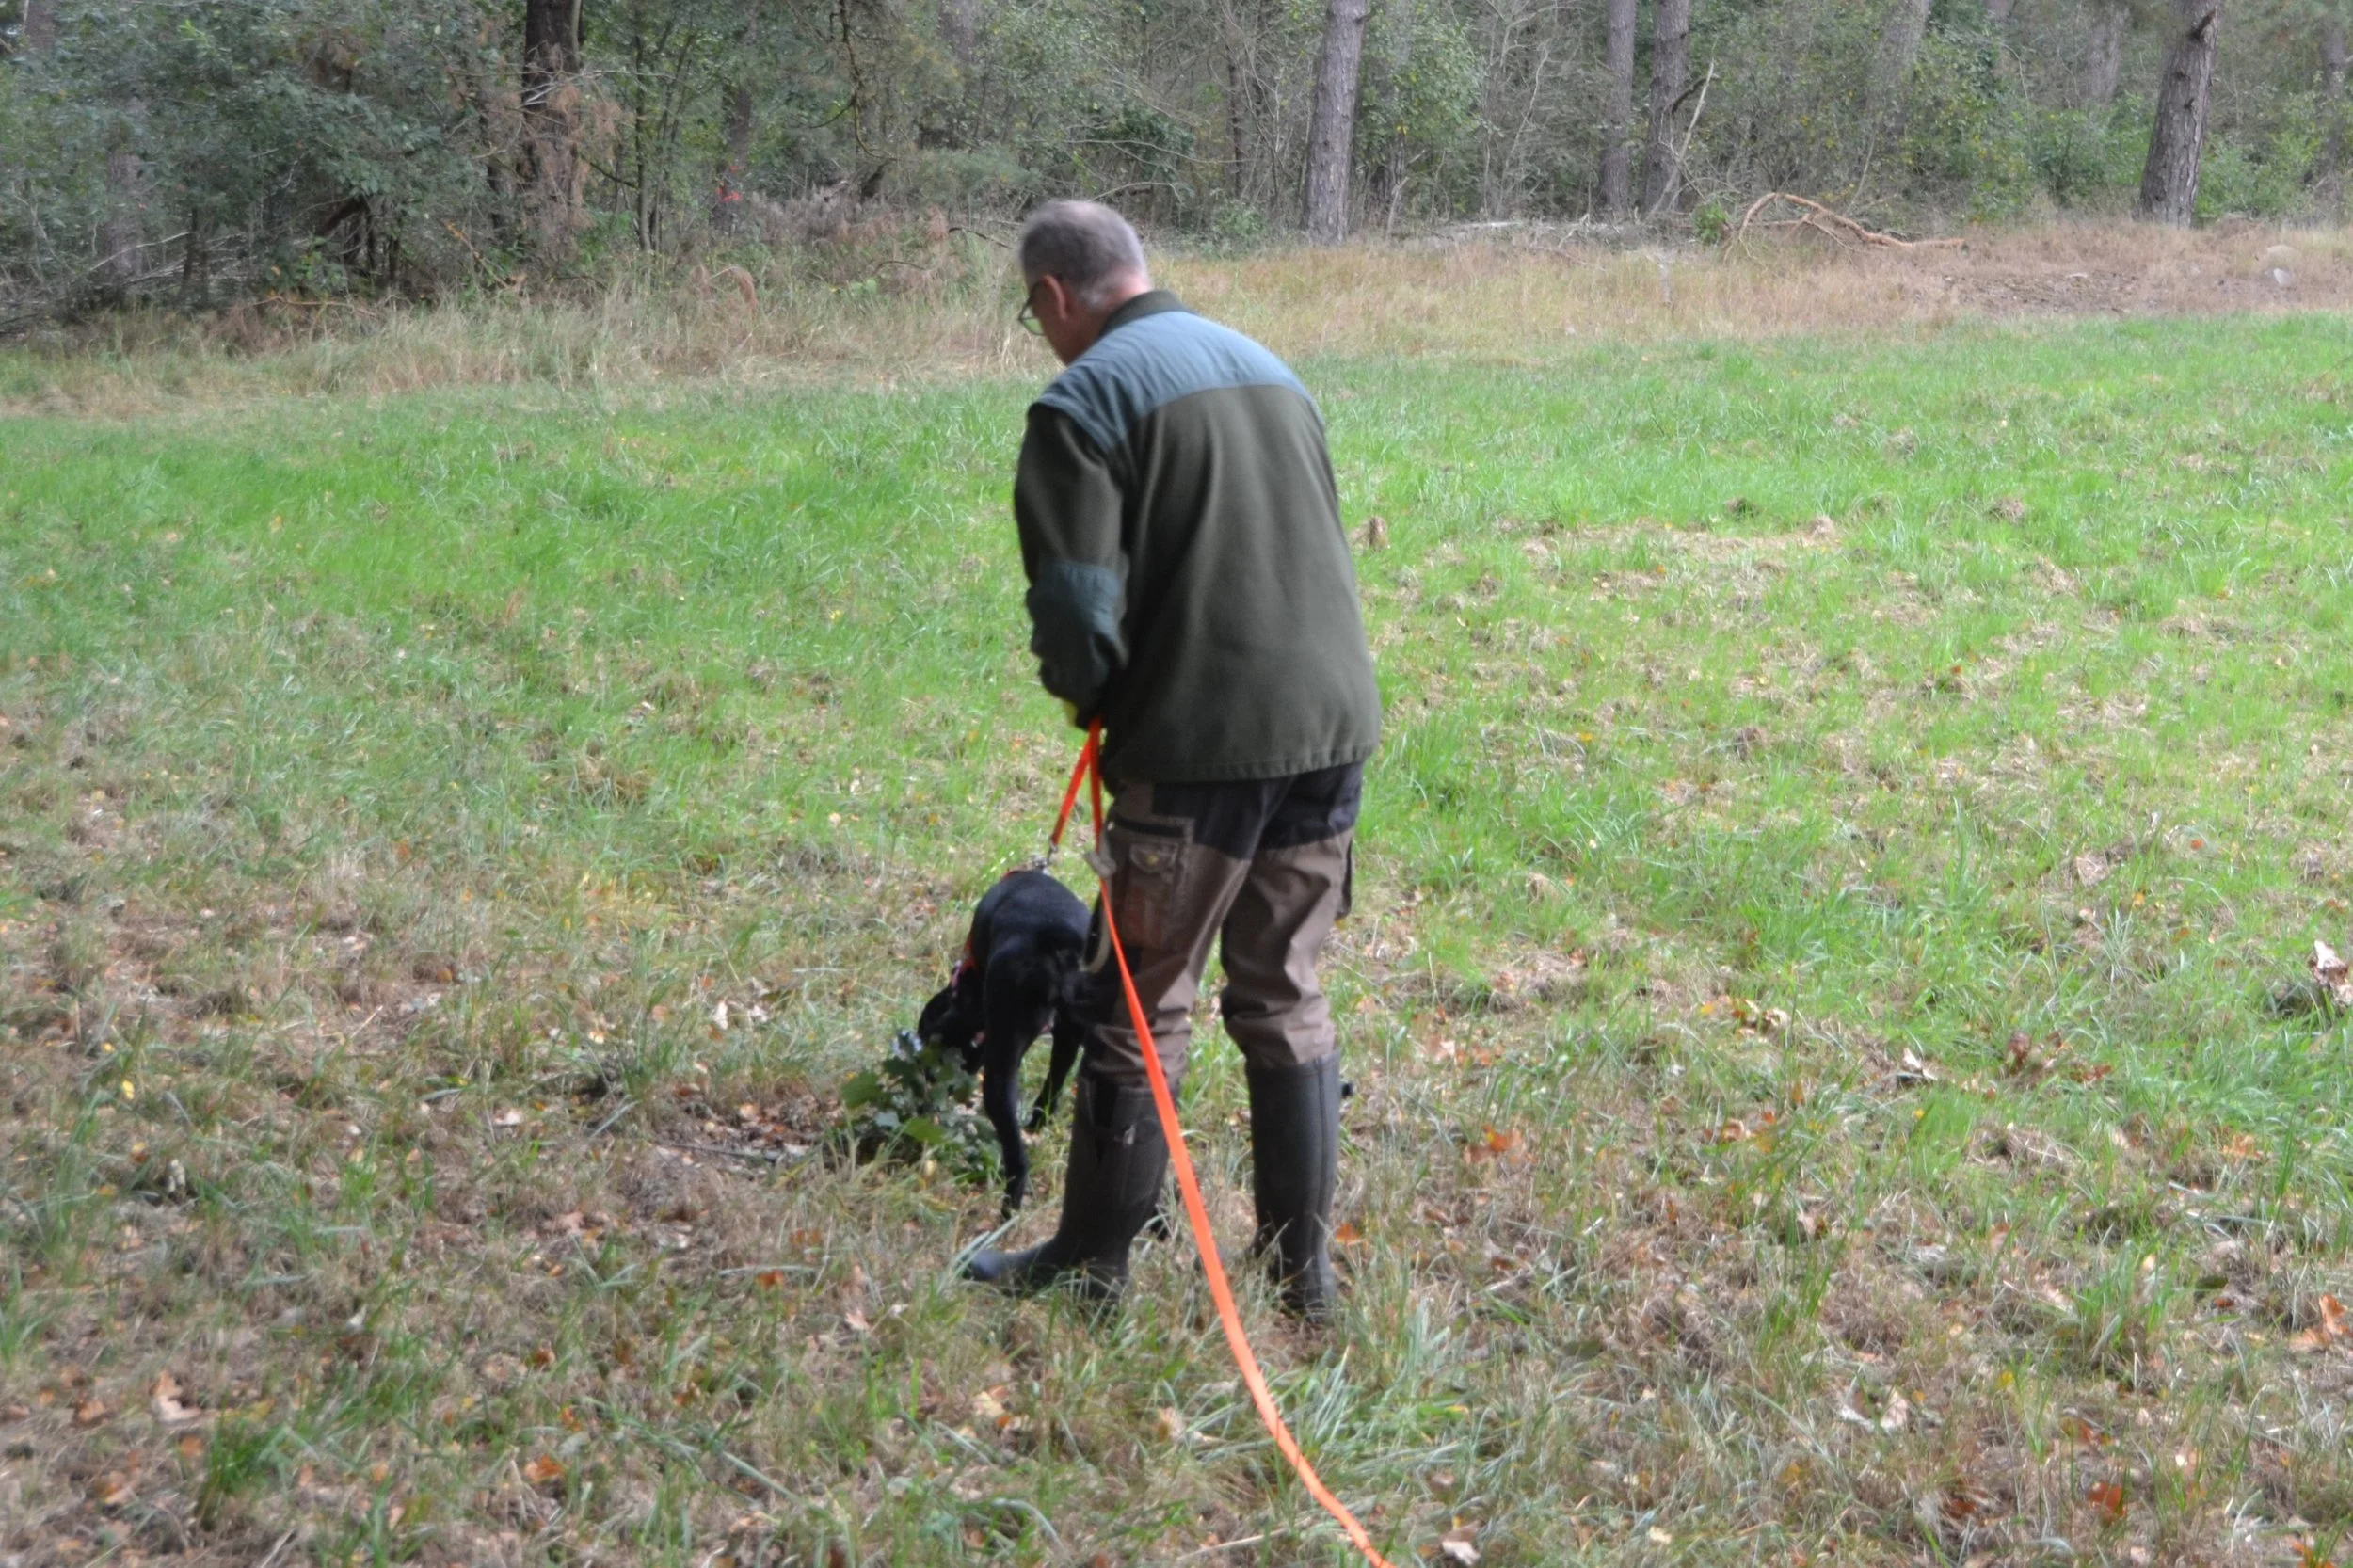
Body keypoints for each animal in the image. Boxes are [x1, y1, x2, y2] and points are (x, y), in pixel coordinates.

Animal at [917, 868, 1092, 1215]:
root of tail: (1063, 946)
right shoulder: (1065, 1038)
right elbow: (1053, 1086)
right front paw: (1039, 1124)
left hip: (1000, 1075)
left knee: (1017, 1160)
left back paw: (1007, 1214)